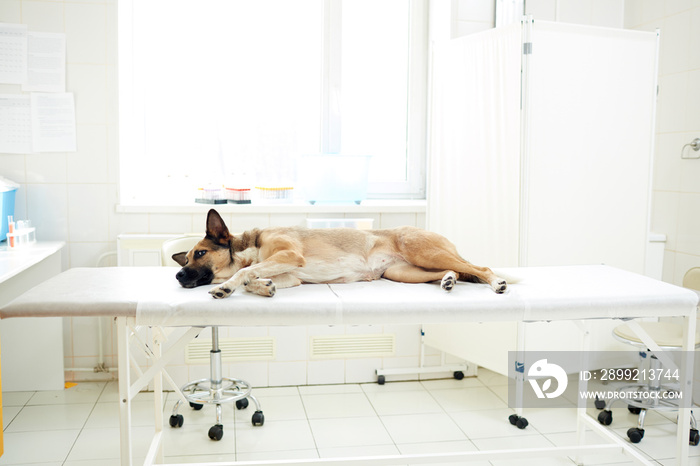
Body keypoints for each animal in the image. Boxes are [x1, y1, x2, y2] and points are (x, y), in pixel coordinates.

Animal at [172, 208, 506, 298]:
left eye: (199, 254)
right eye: (185, 258)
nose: (177, 274)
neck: (251, 247)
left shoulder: (289, 256)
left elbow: (243, 273)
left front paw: (227, 286)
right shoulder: (290, 274)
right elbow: (253, 277)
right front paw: (263, 286)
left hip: (423, 253)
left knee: (481, 268)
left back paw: (495, 283)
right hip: (405, 272)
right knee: (452, 272)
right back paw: (448, 280)